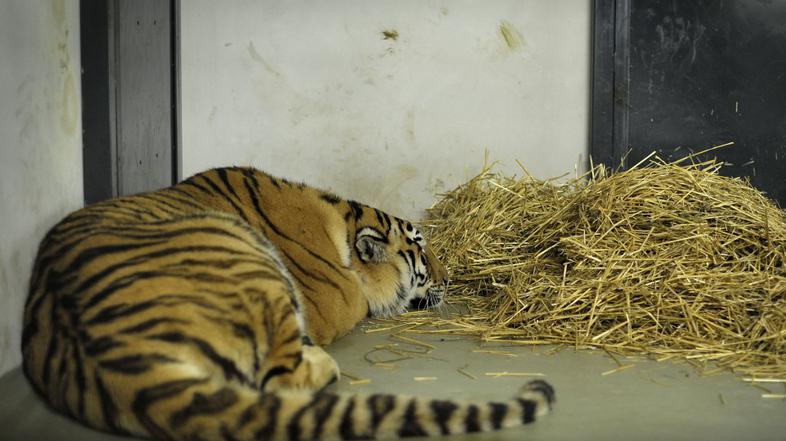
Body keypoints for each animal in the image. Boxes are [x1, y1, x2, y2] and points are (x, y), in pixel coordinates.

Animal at [21, 166, 554, 441]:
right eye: (421, 249)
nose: (450, 277)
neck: (340, 219)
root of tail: (112, 359)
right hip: (246, 258)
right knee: (283, 381)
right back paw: (323, 365)